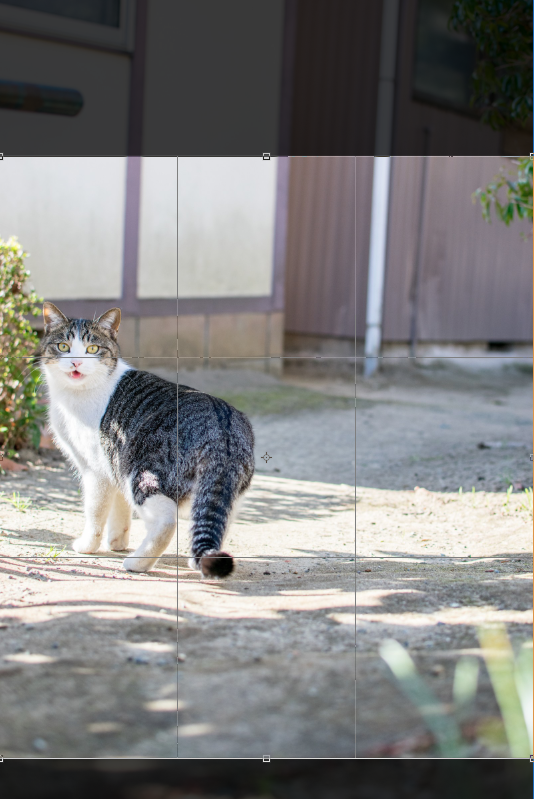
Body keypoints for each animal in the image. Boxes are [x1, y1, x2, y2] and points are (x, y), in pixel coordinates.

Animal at [34, 304, 179, 572]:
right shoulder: (114, 464)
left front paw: (88, 545)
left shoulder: (96, 468)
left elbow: (95, 510)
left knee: (166, 520)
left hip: (143, 475)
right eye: (63, 347)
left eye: (93, 349)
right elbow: (120, 509)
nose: (76, 362)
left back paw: (137, 563)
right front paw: (117, 541)